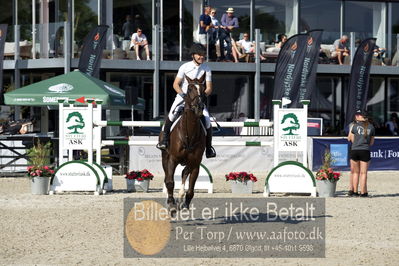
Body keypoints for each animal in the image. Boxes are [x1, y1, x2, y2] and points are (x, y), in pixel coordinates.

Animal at [161, 74, 208, 215]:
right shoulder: (172, 159)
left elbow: (191, 187)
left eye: (203, 89)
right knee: (167, 177)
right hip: (165, 158)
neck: (189, 134)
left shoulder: (195, 163)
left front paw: (185, 204)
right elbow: (170, 182)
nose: (198, 107)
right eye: (189, 89)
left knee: (184, 173)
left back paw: (180, 199)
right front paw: (171, 204)